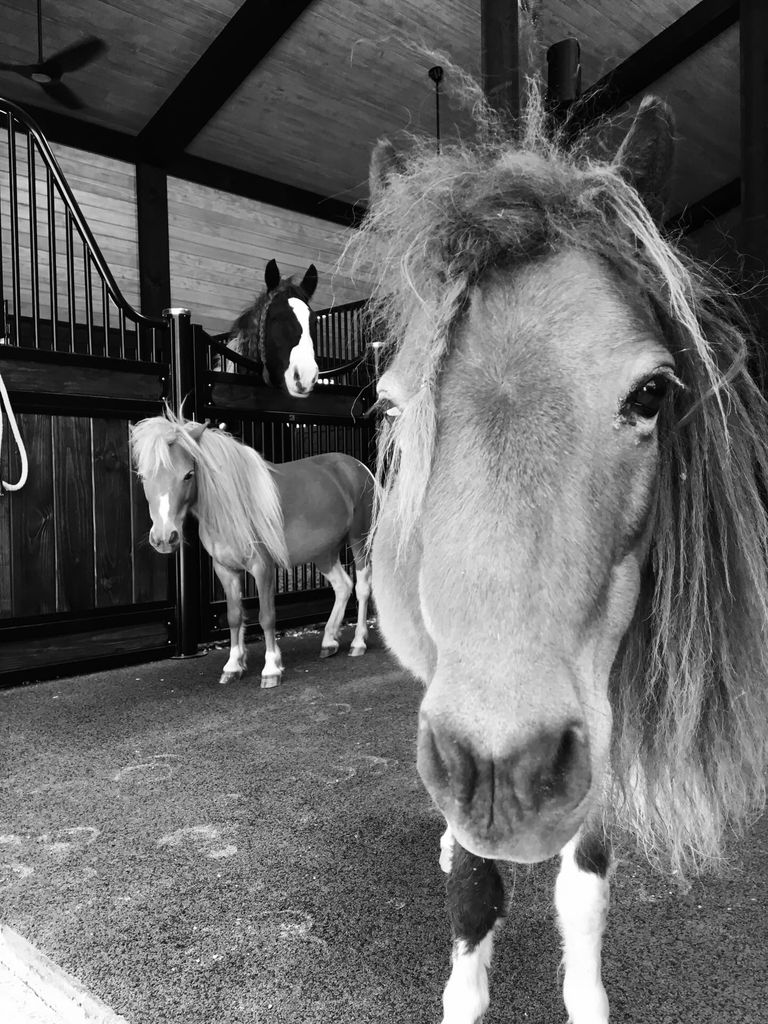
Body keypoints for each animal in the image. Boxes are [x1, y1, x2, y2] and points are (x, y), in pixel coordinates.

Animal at [130, 409, 375, 687]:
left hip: (359, 540)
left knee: (363, 588)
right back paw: (329, 641)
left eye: (188, 474)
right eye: (143, 476)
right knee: (343, 586)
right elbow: (234, 616)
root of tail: (356, 466)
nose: (164, 538)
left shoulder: (263, 568)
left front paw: (271, 669)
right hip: (324, 552)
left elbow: (266, 617)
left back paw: (358, 643)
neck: (231, 507)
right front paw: (233, 666)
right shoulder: (225, 570)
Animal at [350, 74, 768, 1024]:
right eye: (393, 407)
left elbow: (584, 889)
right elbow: (475, 893)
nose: (509, 781)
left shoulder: (595, 706)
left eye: (651, 392)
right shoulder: (462, 721)